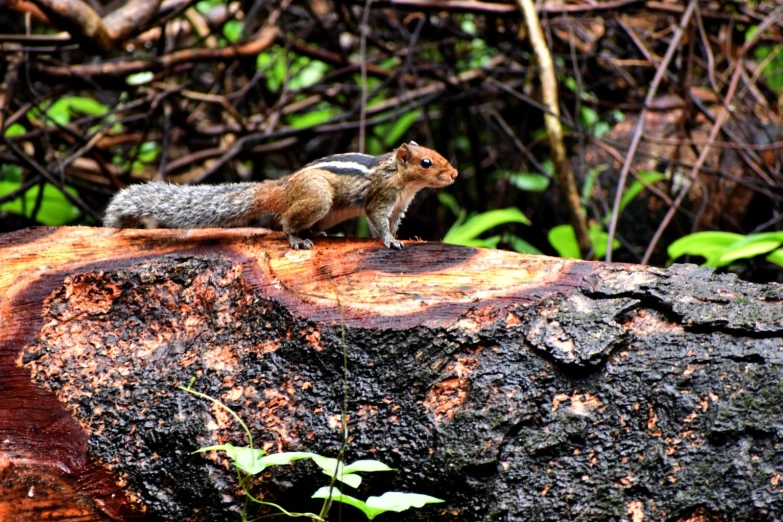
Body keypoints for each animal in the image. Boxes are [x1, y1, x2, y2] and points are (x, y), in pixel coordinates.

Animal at [104, 141, 460, 249]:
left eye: (437, 154)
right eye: (426, 162)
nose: (455, 174)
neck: (399, 177)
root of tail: (285, 185)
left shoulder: (399, 206)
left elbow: (392, 223)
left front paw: (401, 237)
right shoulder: (381, 198)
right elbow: (378, 221)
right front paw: (389, 241)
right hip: (319, 199)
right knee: (284, 223)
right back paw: (297, 239)